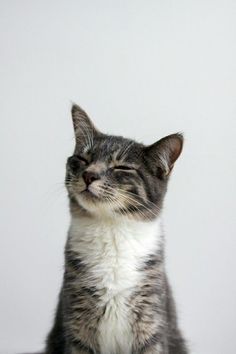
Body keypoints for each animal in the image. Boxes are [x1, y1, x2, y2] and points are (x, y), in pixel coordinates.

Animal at [44, 104, 188, 354]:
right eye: (83, 158)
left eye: (122, 167)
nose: (89, 174)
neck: (111, 230)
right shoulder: (77, 320)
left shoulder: (151, 317)